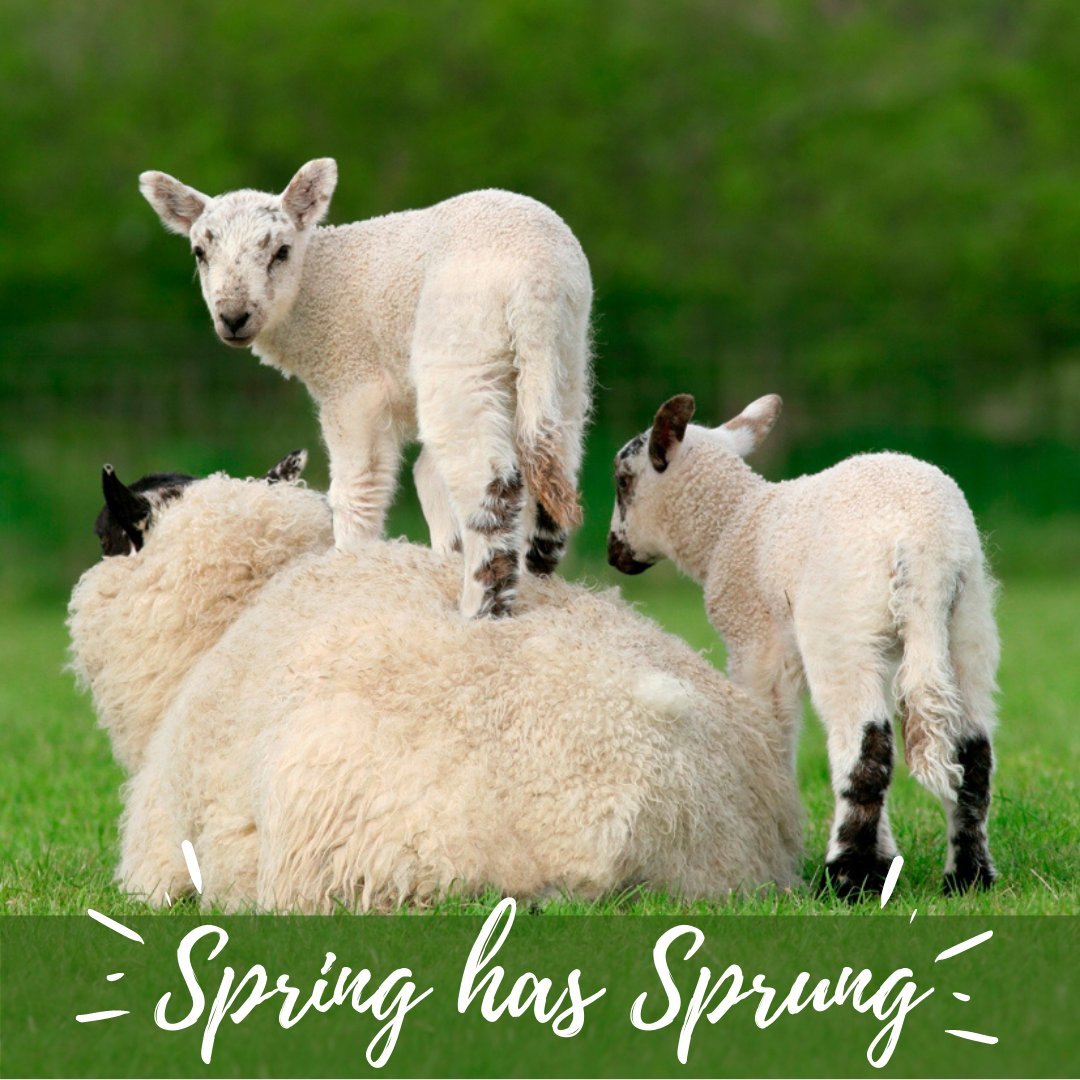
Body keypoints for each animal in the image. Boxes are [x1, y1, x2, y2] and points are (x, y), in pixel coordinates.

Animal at [138, 159, 592, 619]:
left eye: (281, 252)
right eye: (200, 252)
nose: (233, 317)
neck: (314, 288)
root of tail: (536, 282)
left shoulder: (353, 386)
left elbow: (356, 491)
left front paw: (349, 571)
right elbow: (427, 479)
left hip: (461, 347)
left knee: (488, 482)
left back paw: (480, 608)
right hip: (561, 357)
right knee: (552, 466)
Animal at [606, 393, 999, 898]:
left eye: (622, 480)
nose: (614, 554)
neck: (732, 524)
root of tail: (927, 548)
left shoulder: (756, 643)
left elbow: (769, 730)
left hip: (841, 622)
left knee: (865, 746)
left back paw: (849, 877)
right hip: (966, 625)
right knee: (973, 755)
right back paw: (968, 877)